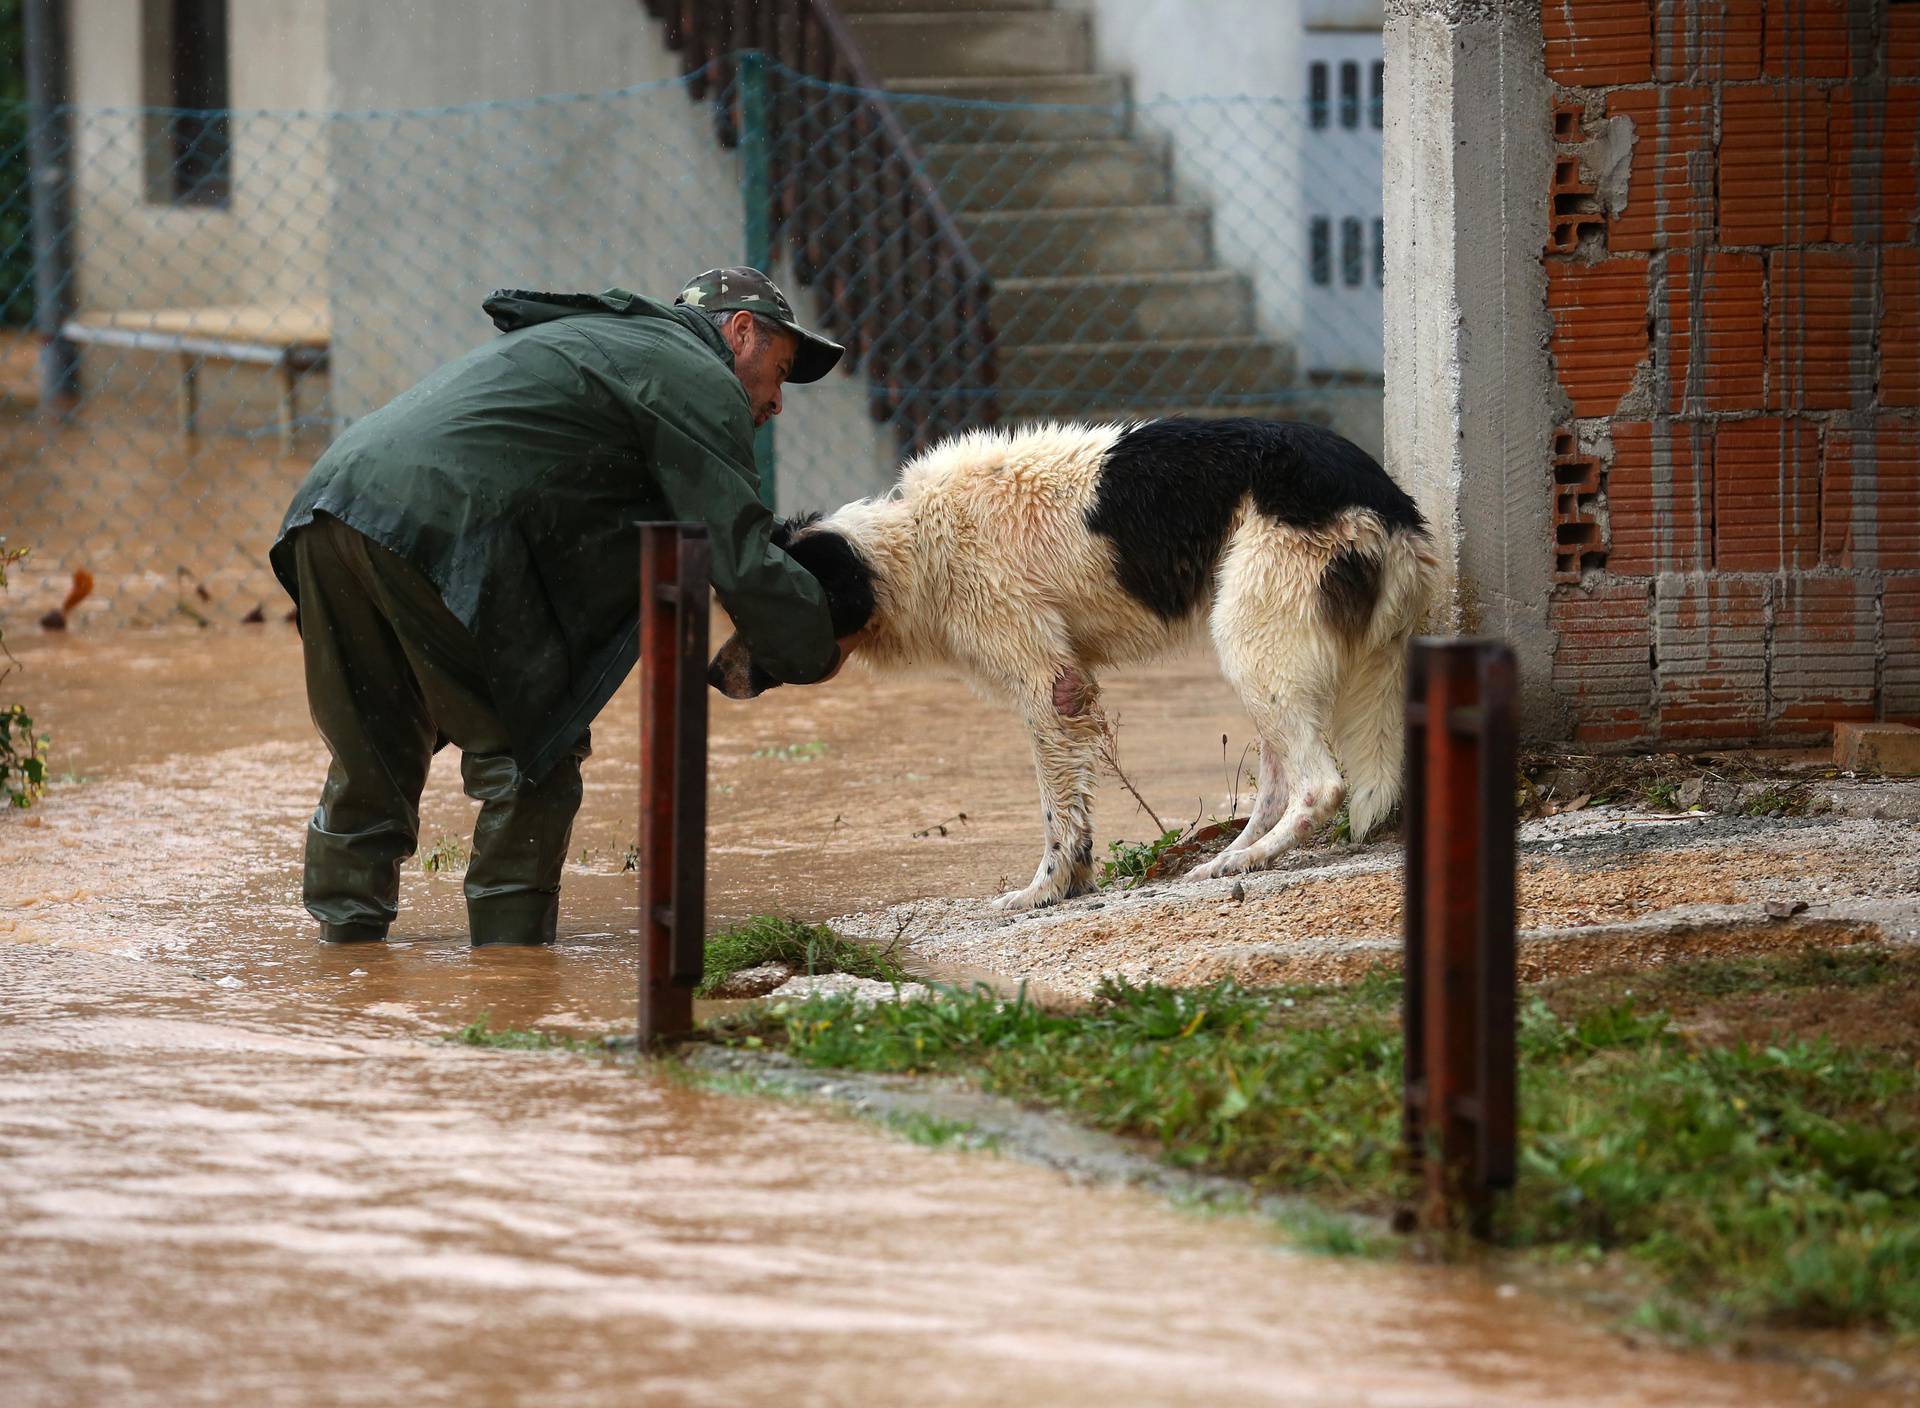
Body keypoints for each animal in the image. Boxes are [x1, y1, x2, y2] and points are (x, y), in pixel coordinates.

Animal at [714, 414, 1436, 910]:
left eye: (759, 611)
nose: (712, 675)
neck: (914, 545)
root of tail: (1395, 508)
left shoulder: (1048, 684)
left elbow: (1057, 812)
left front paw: (1046, 890)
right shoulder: (1068, 688)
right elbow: (1075, 807)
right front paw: (1076, 882)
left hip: (1253, 642)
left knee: (1322, 783)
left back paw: (1247, 859)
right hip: (1267, 651)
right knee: (1281, 781)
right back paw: (1230, 856)